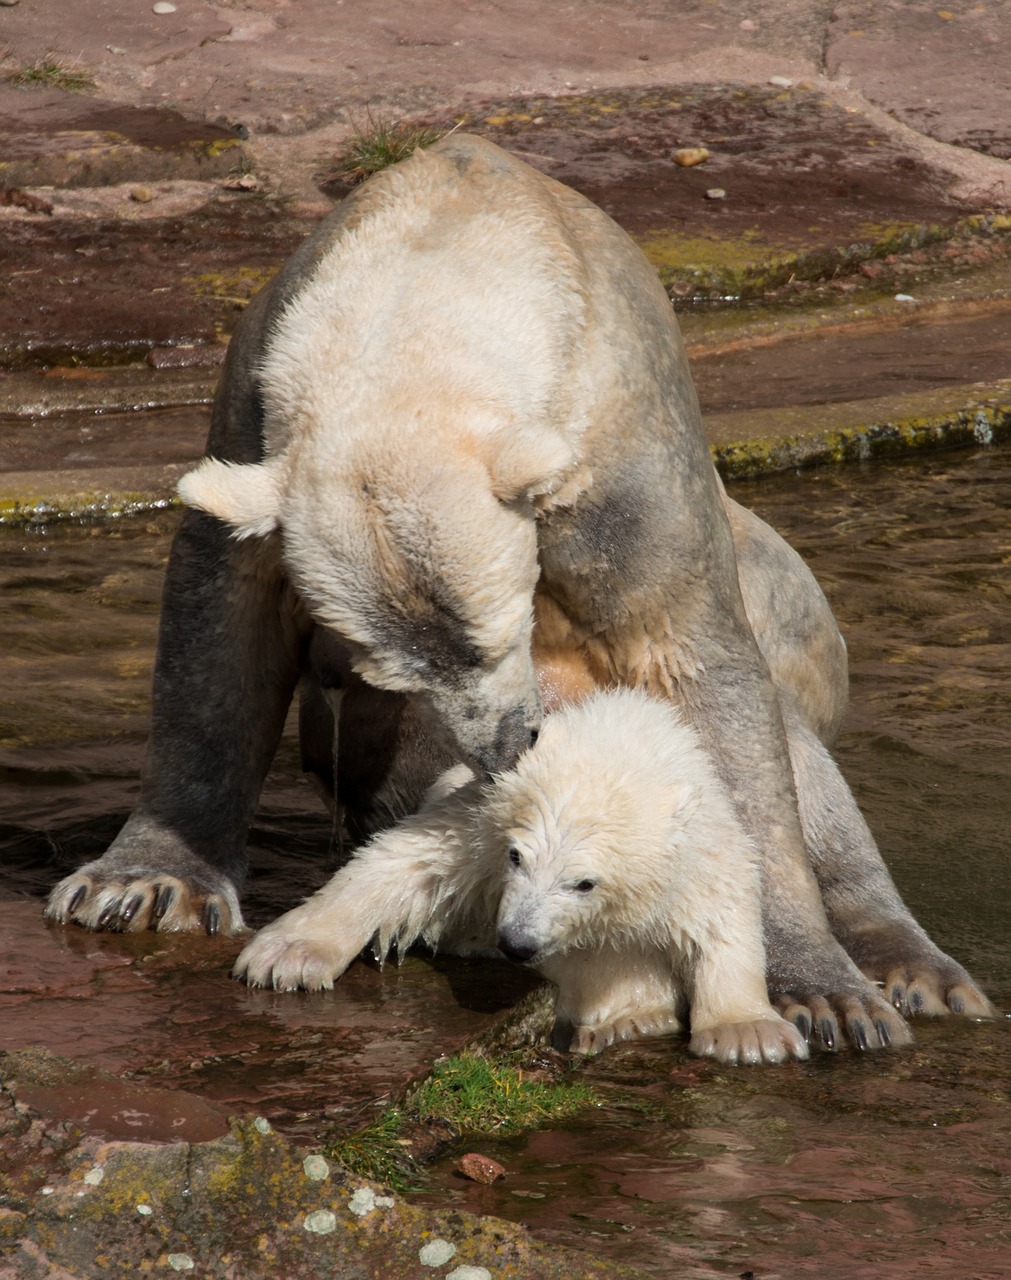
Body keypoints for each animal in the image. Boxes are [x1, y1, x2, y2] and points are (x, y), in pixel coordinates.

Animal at [45, 132, 987, 1049]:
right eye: (390, 675)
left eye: (498, 635)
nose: (510, 744)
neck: (451, 240)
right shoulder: (251, 400)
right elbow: (221, 617)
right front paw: (142, 886)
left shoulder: (626, 452)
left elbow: (699, 670)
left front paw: (820, 993)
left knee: (803, 761)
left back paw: (915, 970)